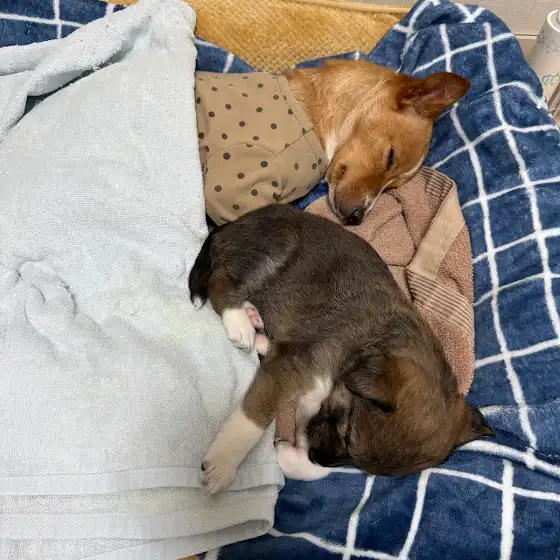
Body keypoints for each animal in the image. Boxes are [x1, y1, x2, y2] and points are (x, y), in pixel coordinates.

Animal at [189, 205, 493, 493]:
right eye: (348, 437)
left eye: (357, 463)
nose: (318, 457)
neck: (363, 350)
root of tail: (229, 225)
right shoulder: (289, 371)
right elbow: (253, 418)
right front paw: (224, 462)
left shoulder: (308, 397)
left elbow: (313, 465)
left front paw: (290, 458)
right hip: (273, 249)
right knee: (219, 281)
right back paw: (239, 321)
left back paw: (252, 319)